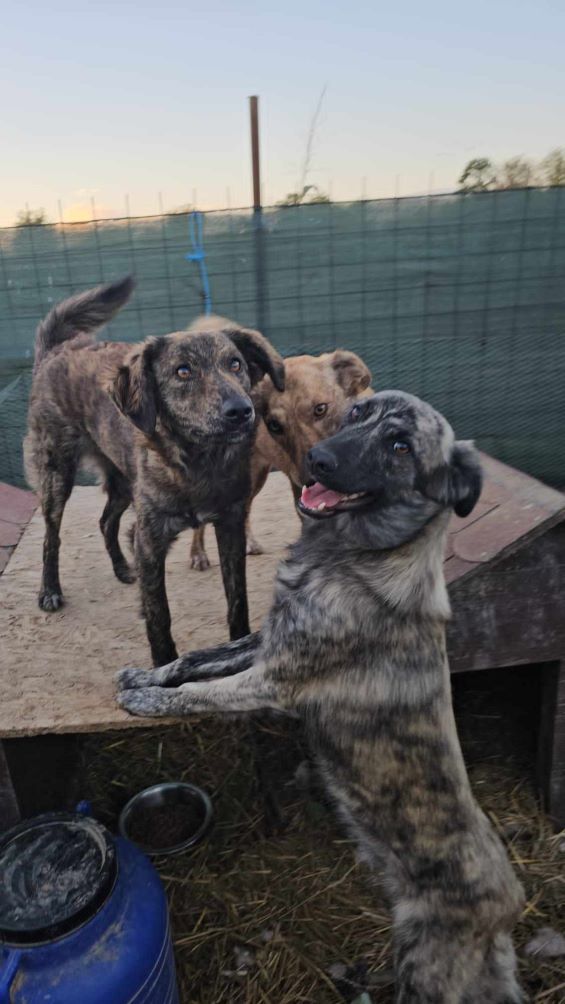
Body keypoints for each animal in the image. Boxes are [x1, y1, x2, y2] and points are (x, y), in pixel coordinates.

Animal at [24, 277, 285, 666]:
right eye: (183, 371)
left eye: (236, 364)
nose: (241, 411)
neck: (198, 464)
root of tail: (56, 353)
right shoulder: (151, 540)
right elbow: (159, 613)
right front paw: (164, 663)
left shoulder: (230, 526)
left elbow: (237, 599)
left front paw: (237, 647)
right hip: (57, 475)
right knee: (51, 536)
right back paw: (50, 591)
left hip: (122, 481)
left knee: (107, 521)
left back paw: (121, 568)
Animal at [117, 391, 525, 1003]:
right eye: (357, 413)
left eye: (400, 446)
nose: (318, 459)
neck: (354, 557)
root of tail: (509, 909)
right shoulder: (265, 643)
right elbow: (193, 660)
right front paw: (146, 676)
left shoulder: (275, 679)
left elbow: (197, 692)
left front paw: (152, 701)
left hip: (428, 966)